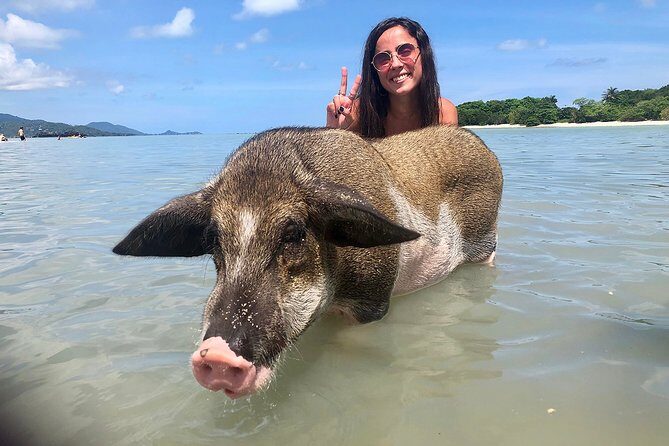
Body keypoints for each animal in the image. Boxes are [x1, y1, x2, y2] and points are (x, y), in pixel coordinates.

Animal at [113, 125, 503, 399]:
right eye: (214, 239)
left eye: (295, 233)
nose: (217, 353)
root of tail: (485, 148)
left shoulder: (373, 298)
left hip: (483, 239)